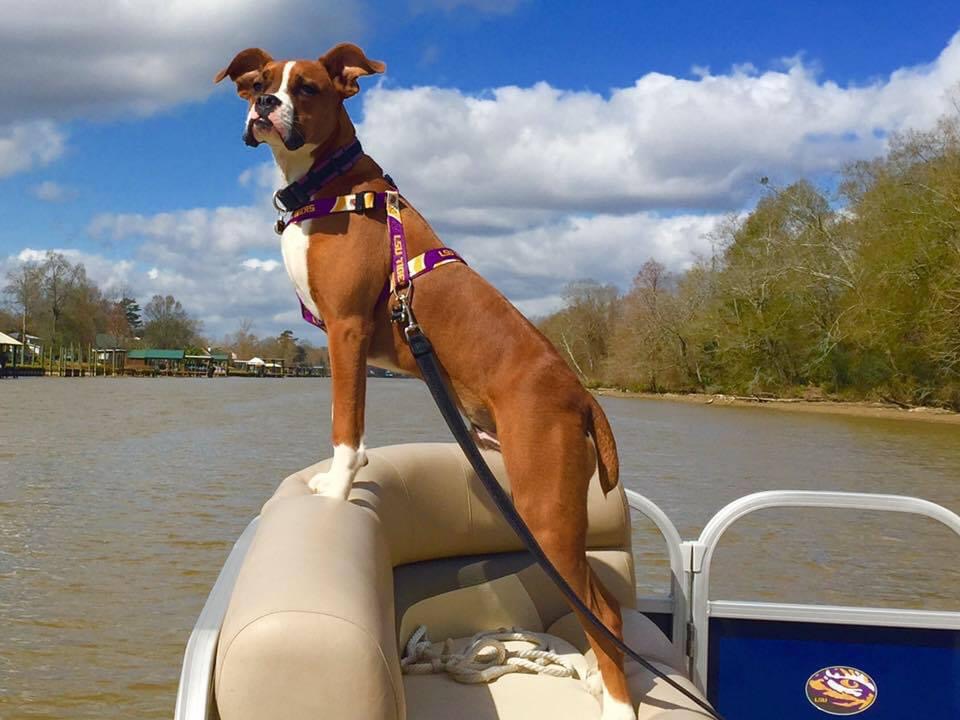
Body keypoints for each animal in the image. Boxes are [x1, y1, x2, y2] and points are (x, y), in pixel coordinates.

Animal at [218, 45, 636, 720]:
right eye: (258, 81)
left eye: (305, 88)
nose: (264, 104)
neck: (328, 183)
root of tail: (582, 393)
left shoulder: (347, 332)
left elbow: (346, 422)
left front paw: (337, 489)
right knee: (601, 606)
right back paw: (598, 680)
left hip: (545, 512)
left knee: (606, 614)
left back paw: (620, 703)